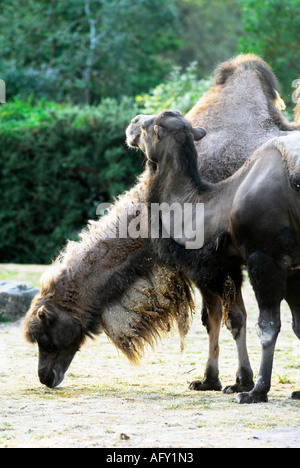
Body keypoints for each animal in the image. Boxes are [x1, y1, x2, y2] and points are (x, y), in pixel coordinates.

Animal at [24, 54, 296, 392]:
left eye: (44, 336)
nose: (46, 377)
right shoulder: (202, 268)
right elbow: (212, 318)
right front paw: (210, 379)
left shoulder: (215, 263)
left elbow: (233, 318)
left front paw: (239, 380)